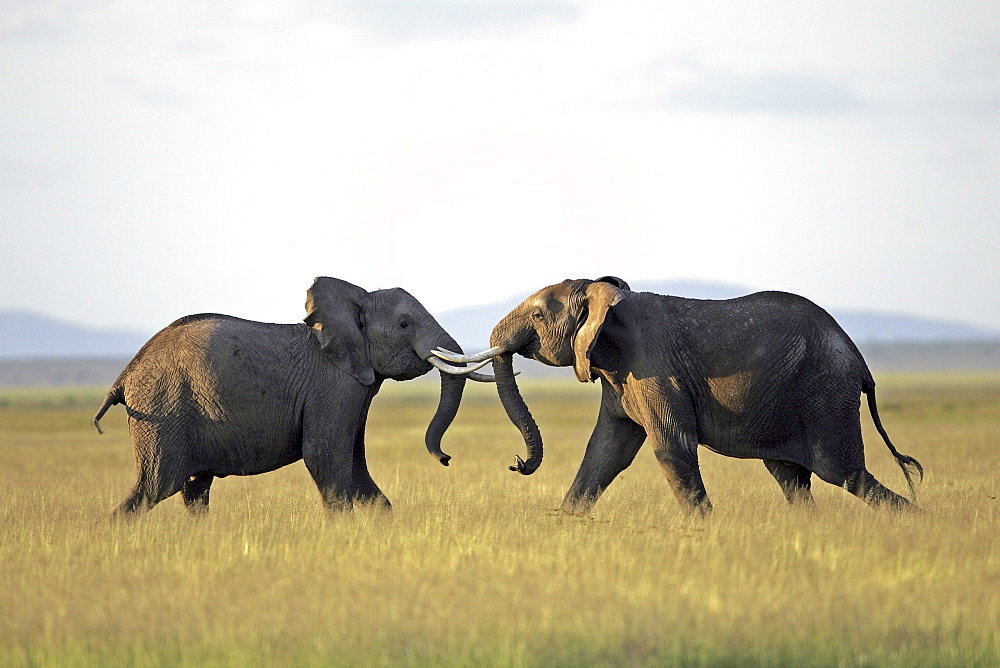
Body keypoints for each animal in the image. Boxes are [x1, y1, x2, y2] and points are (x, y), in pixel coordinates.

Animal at [92, 276, 490, 516]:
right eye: (405, 324)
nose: (445, 459)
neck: (354, 302)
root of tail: (125, 376)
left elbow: (355, 464)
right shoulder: (333, 386)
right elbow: (326, 457)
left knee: (194, 490)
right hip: (163, 413)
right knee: (155, 486)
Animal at [434, 276, 924, 516]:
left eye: (537, 315)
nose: (517, 463)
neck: (606, 297)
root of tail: (861, 363)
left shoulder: (652, 366)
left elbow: (670, 447)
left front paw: (705, 532)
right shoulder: (619, 376)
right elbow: (605, 452)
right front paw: (565, 523)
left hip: (825, 393)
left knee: (844, 473)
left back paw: (920, 523)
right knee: (791, 478)